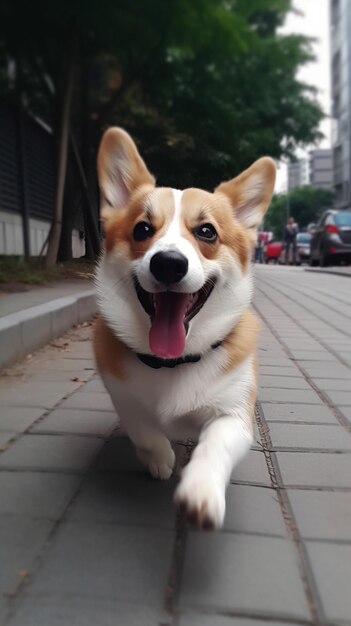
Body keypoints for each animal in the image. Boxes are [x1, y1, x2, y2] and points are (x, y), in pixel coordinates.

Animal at [95, 127, 276, 528]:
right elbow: (144, 430)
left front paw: (200, 492)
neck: (173, 362)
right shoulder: (121, 395)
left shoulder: (234, 414)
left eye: (207, 232)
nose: (168, 263)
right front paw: (161, 459)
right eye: (142, 229)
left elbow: (215, 443)